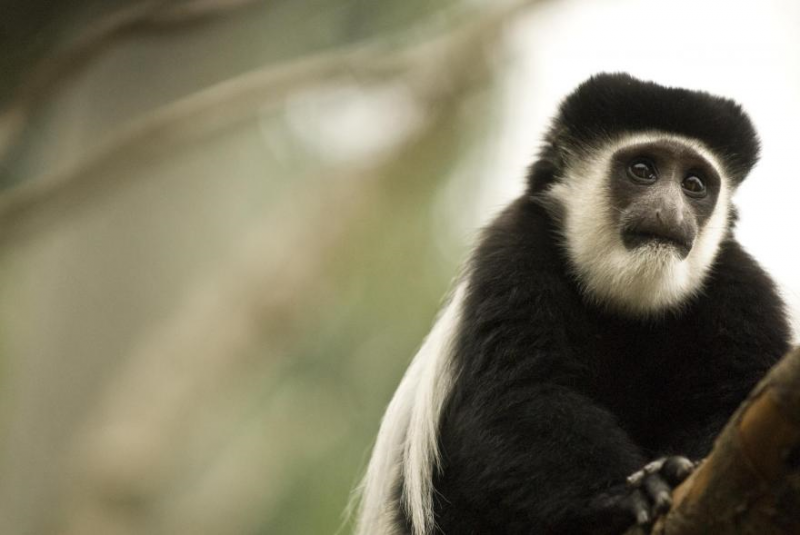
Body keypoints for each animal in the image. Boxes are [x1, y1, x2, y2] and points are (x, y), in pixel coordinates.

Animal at [355, 73, 792, 535]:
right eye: (643, 170)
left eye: (694, 184)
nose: (670, 211)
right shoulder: (514, 253)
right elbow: (518, 395)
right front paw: (629, 493)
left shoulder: (744, 289)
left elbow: (734, 399)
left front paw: (671, 471)